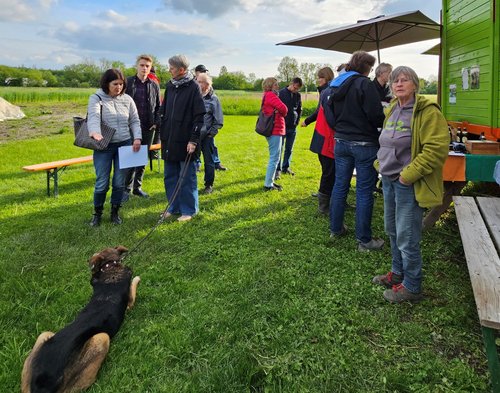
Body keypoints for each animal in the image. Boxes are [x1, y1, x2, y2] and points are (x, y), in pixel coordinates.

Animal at [20, 245, 140, 392]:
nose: (87, 260)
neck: (110, 268)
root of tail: (43, 385)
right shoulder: (130, 303)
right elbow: (134, 283)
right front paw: (138, 278)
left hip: (43, 337)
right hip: (101, 338)